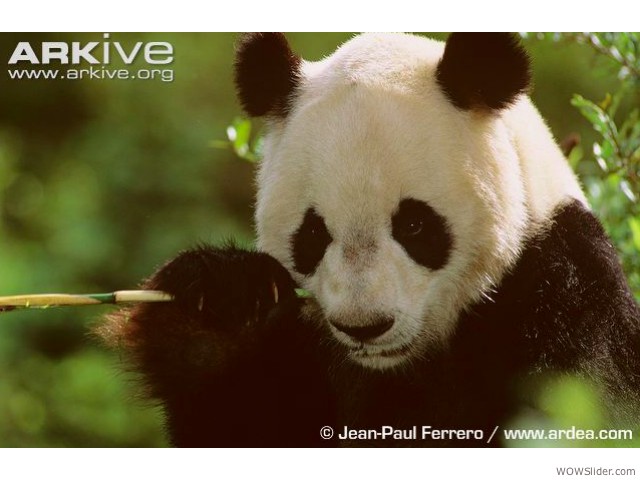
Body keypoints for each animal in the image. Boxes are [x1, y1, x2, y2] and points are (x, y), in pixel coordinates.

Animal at [100, 32, 640, 446]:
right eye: (313, 233)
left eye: (415, 225)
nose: (364, 327)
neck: (401, 364)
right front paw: (220, 302)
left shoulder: (564, 291)